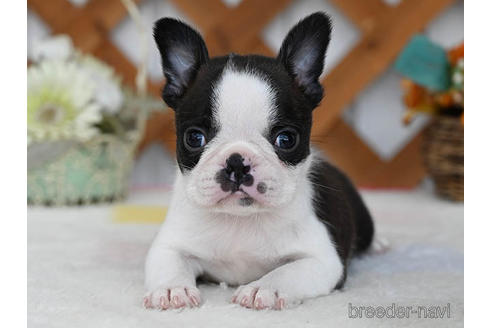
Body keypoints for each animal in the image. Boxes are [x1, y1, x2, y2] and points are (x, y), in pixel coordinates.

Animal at [144, 12, 374, 310]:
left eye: (286, 139)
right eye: (194, 138)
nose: (236, 163)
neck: (240, 220)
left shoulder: (322, 260)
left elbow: (287, 272)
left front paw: (263, 288)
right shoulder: (168, 245)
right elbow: (170, 263)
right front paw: (174, 289)